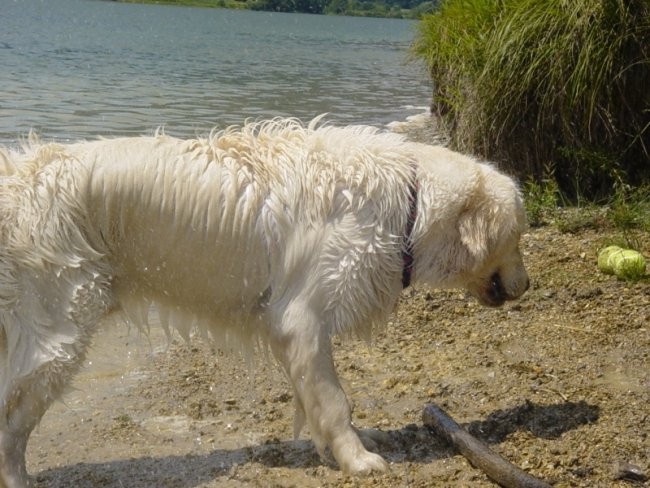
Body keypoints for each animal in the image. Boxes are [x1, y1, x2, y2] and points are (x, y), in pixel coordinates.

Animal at [0, 117, 528, 484]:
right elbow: (334, 401)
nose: (527, 286)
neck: (410, 200)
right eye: (517, 235)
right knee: (13, 420)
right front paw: (358, 459)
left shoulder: (294, 331)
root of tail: (19, 182)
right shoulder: (303, 318)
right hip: (59, 331)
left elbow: (316, 398)